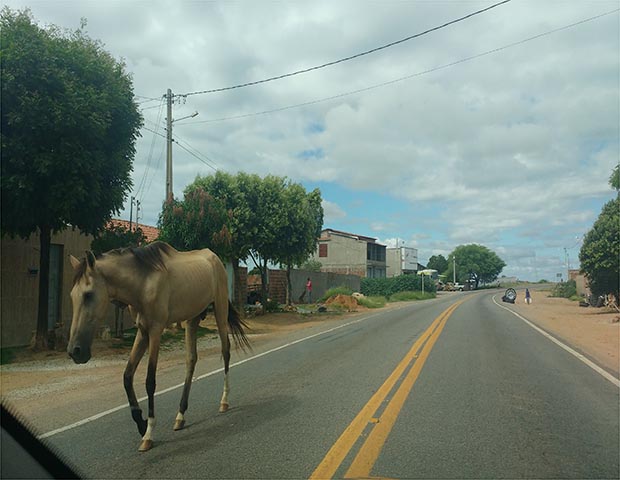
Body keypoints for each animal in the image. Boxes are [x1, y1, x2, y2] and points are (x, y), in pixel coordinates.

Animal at [66, 242, 251, 452]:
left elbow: (150, 381)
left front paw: (148, 432)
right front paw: (141, 422)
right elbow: (127, 377)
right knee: (191, 359)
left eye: (88, 295)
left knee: (225, 351)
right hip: (192, 318)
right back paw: (180, 415)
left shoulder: (155, 331)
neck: (143, 282)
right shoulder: (142, 332)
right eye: (72, 295)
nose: (75, 351)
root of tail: (215, 258)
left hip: (220, 310)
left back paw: (224, 401)